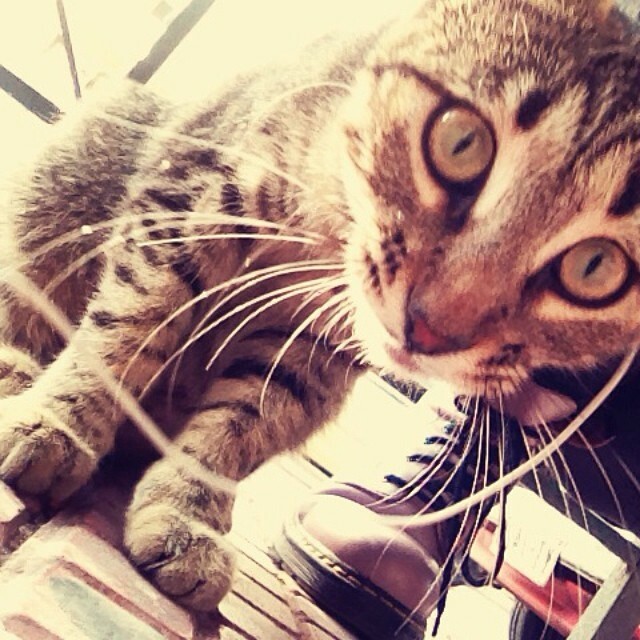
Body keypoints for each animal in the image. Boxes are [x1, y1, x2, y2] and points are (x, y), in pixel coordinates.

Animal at [0, 0, 637, 614]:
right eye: (461, 143)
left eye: (595, 268)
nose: (429, 329)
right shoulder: (197, 190)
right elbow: (130, 325)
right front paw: (62, 423)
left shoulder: (318, 353)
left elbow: (240, 426)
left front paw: (187, 512)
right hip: (80, 157)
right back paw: (17, 370)